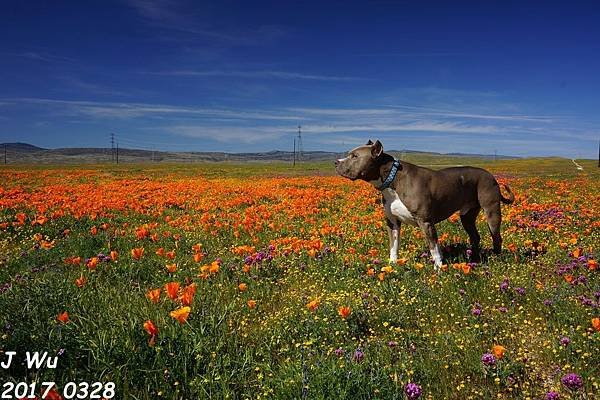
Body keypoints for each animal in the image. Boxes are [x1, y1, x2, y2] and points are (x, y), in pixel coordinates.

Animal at [336, 140, 512, 272]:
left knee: (496, 236)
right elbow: (393, 245)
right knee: (475, 236)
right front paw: (391, 265)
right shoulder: (392, 223)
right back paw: (474, 258)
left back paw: (496, 258)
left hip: (492, 211)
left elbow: (434, 247)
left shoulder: (426, 222)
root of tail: (491, 175)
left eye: (354, 156)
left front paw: (439, 268)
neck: (392, 180)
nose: (336, 162)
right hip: (467, 216)